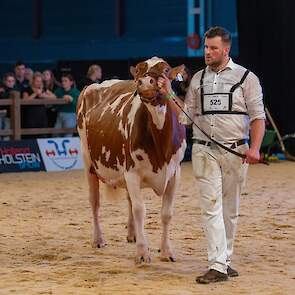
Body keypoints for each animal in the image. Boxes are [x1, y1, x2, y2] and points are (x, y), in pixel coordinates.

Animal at [77, 57, 187, 264]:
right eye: (138, 72)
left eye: (166, 70)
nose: (144, 82)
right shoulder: (132, 172)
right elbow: (139, 209)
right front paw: (143, 253)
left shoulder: (175, 173)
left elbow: (166, 213)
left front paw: (166, 251)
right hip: (88, 161)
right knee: (94, 201)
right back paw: (98, 239)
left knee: (127, 199)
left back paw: (132, 234)